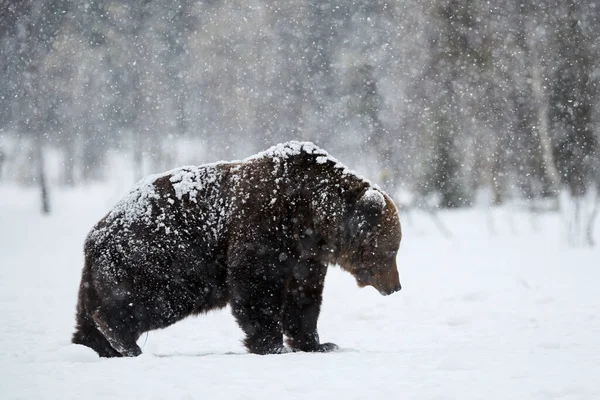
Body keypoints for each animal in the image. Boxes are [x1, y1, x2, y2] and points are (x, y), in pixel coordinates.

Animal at [72, 141, 400, 356]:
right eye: (391, 250)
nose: (396, 286)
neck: (308, 217)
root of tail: (94, 235)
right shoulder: (264, 227)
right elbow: (256, 286)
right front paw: (272, 345)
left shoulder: (306, 257)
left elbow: (303, 299)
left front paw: (319, 343)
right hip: (161, 259)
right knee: (142, 301)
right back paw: (124, 342)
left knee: (86, 315)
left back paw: (96, 344)